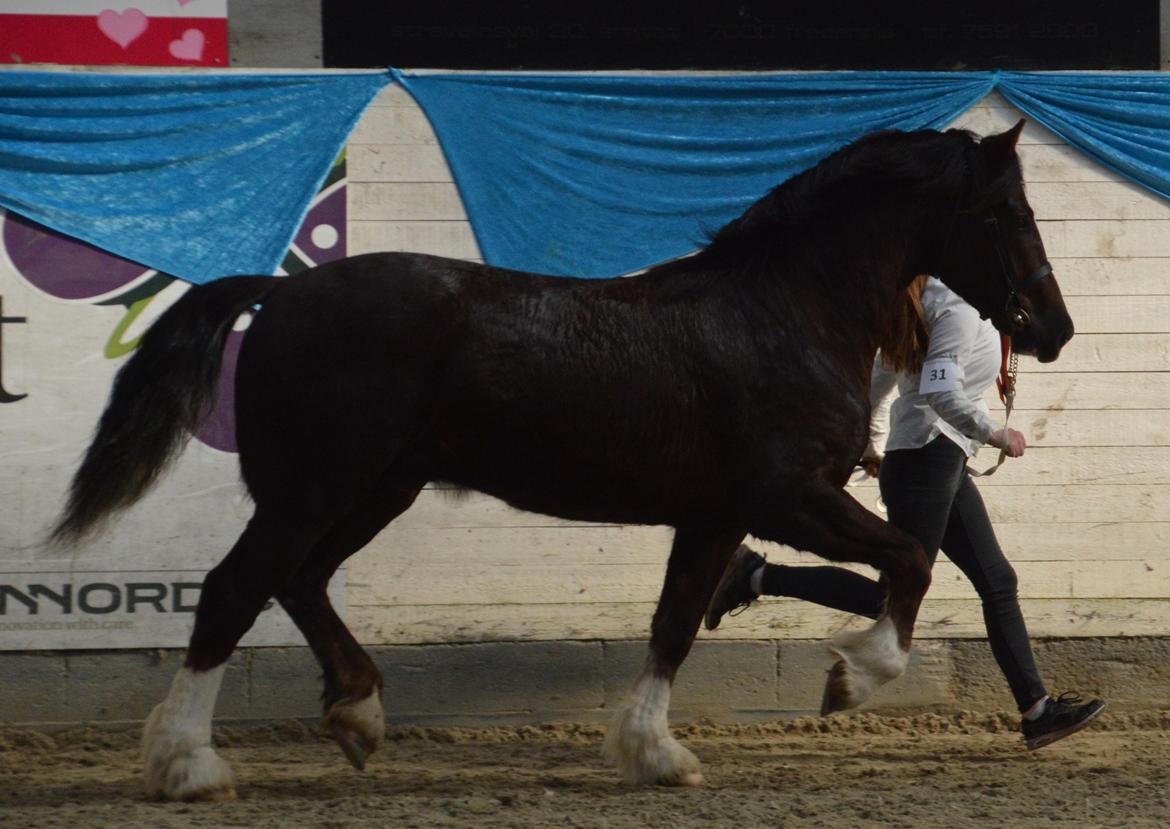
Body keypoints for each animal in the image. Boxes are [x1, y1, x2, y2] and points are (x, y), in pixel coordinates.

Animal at [59, 119, 1071, 799]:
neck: (782, 312)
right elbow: (911, 557)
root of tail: (280, 295)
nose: (1052, 329)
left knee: (300, 582)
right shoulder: (788, 495)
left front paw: (654, 752)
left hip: (376, 488)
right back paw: (191, 763)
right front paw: (850, 676)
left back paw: (356, 714)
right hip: (313, 488)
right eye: (1008, 209)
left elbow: (675, 621)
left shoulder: (714, 513)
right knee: (235, 588)